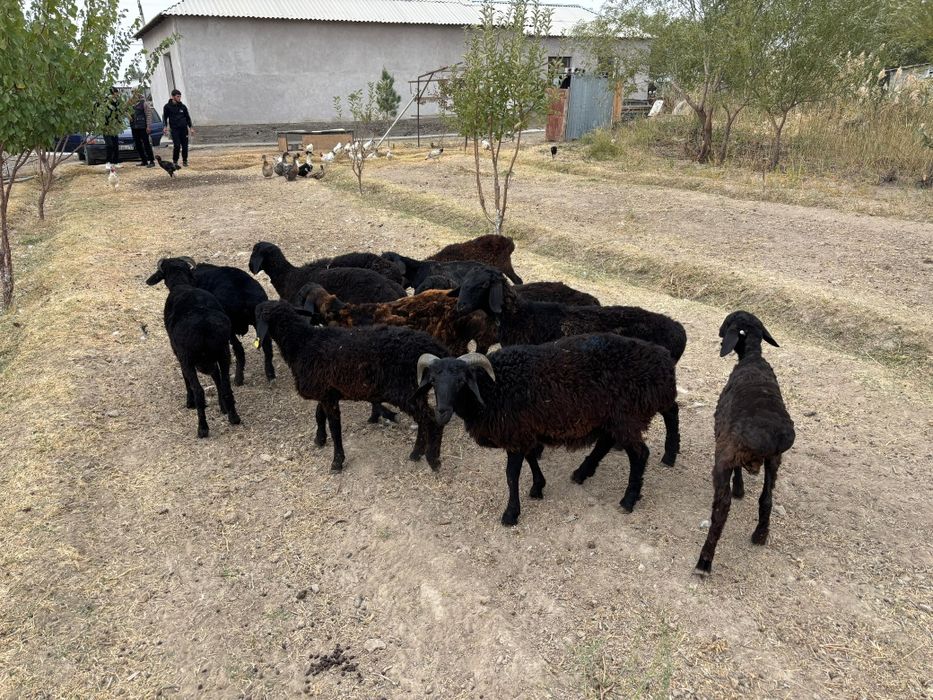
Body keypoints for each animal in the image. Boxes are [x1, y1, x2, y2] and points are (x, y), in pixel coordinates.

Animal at [145, 257, 241, 438]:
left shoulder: (180, 355)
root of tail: (204, 325)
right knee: (225, 384)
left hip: (189, 358)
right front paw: (223, 407)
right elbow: (217, 378)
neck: (181, 285)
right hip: (223, 352)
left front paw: (189, 402)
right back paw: (233, 417)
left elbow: (186, 378)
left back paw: (202, 428)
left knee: (199, 391)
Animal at [254, 301, 449, 471]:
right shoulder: (326, 391)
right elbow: (319, 415)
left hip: (404, 390)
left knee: (431, 419)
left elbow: (335, 428)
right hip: (415, 390)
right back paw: (416, 453)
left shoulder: (328, 395)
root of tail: (433, 348)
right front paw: (320, 439)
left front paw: (337, 462)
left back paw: (433, 460)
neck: (302, 344)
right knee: (425, 418)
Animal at [415, 333, 678, 525]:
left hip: (627, 416)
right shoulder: (526, 430)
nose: (441, 412)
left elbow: (511, 475)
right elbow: (532, 456)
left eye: (461, 381)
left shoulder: (515, 432)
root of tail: (664, 360)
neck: (493, 388)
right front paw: (538, 486)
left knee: (641, 452)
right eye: (433, 381)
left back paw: (630, 498)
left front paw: (511, 514)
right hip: (611, 417)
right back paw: (582, 472)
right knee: (607, 441)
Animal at [452, 266, 686, 466]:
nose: (460, 307)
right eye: (464, 282)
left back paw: (668, 455)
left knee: (671, 411)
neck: (521, 317)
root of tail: (679, 331)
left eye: (483, 284)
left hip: (650, 383)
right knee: (670, 409)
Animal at [695, 311, 795, 576]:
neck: (752, 357)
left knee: (722, 508)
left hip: (724, 459)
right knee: (766, 499)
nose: (719, 335)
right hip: (774, 461)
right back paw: (760, 535)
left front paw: (739, 489)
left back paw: (704, 561)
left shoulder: (725, 439)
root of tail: (770, 439)